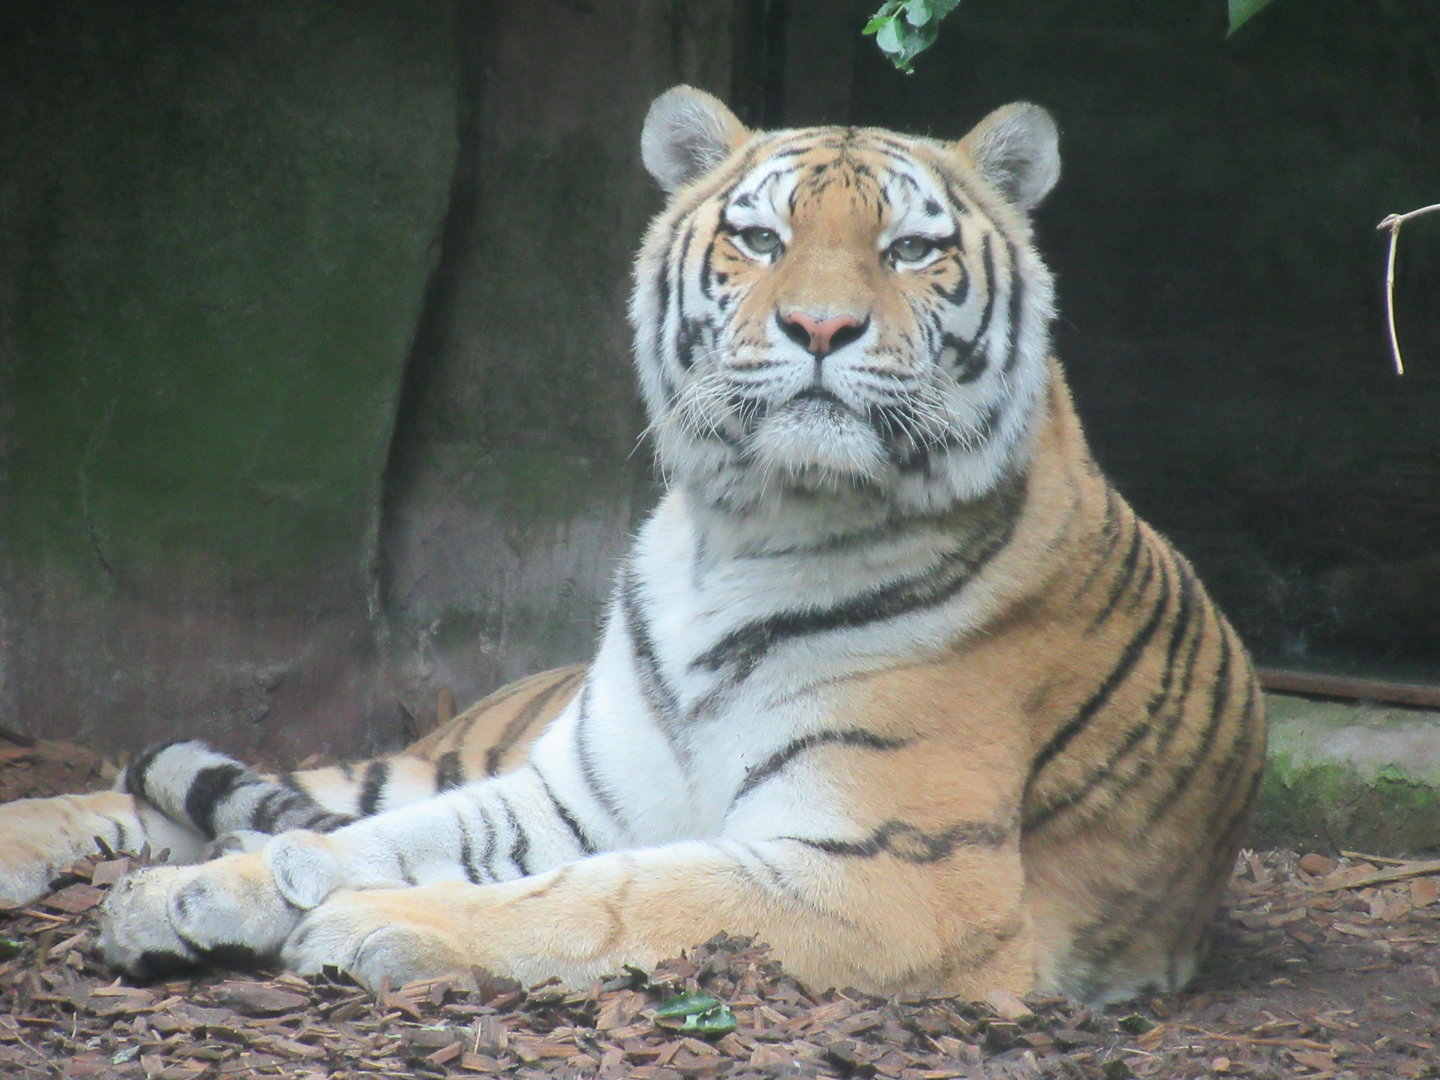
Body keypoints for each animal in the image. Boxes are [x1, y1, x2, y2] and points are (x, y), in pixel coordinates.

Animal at [0, 85, 1264, 1005]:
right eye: (758, 238)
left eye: (911, 251)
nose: (819, 326)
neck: (751, 530)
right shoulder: (572, 797)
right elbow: (395, 843)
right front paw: (195, 895)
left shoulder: (888, 875)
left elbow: (609, 898)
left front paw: (366, 924)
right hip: (439, 753)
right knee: (197, 785)